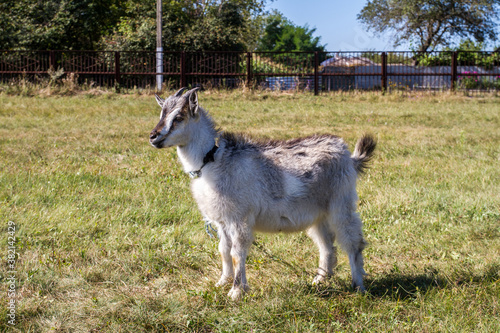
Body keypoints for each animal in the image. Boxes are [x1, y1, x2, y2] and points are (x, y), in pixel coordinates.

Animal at [148, 87, 376, 300]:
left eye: (179, 117)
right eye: (161, 113)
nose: (153, 136)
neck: (213, 160)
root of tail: (349, 156)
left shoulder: (239, 218)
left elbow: (236, 253)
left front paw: (236, 292)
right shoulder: (222, 220)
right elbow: (223, 250)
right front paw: (222, 282)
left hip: (341, 203)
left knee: (352, 241)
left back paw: (358, 286)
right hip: (318, 213)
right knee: (326, 245)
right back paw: (319, 280)